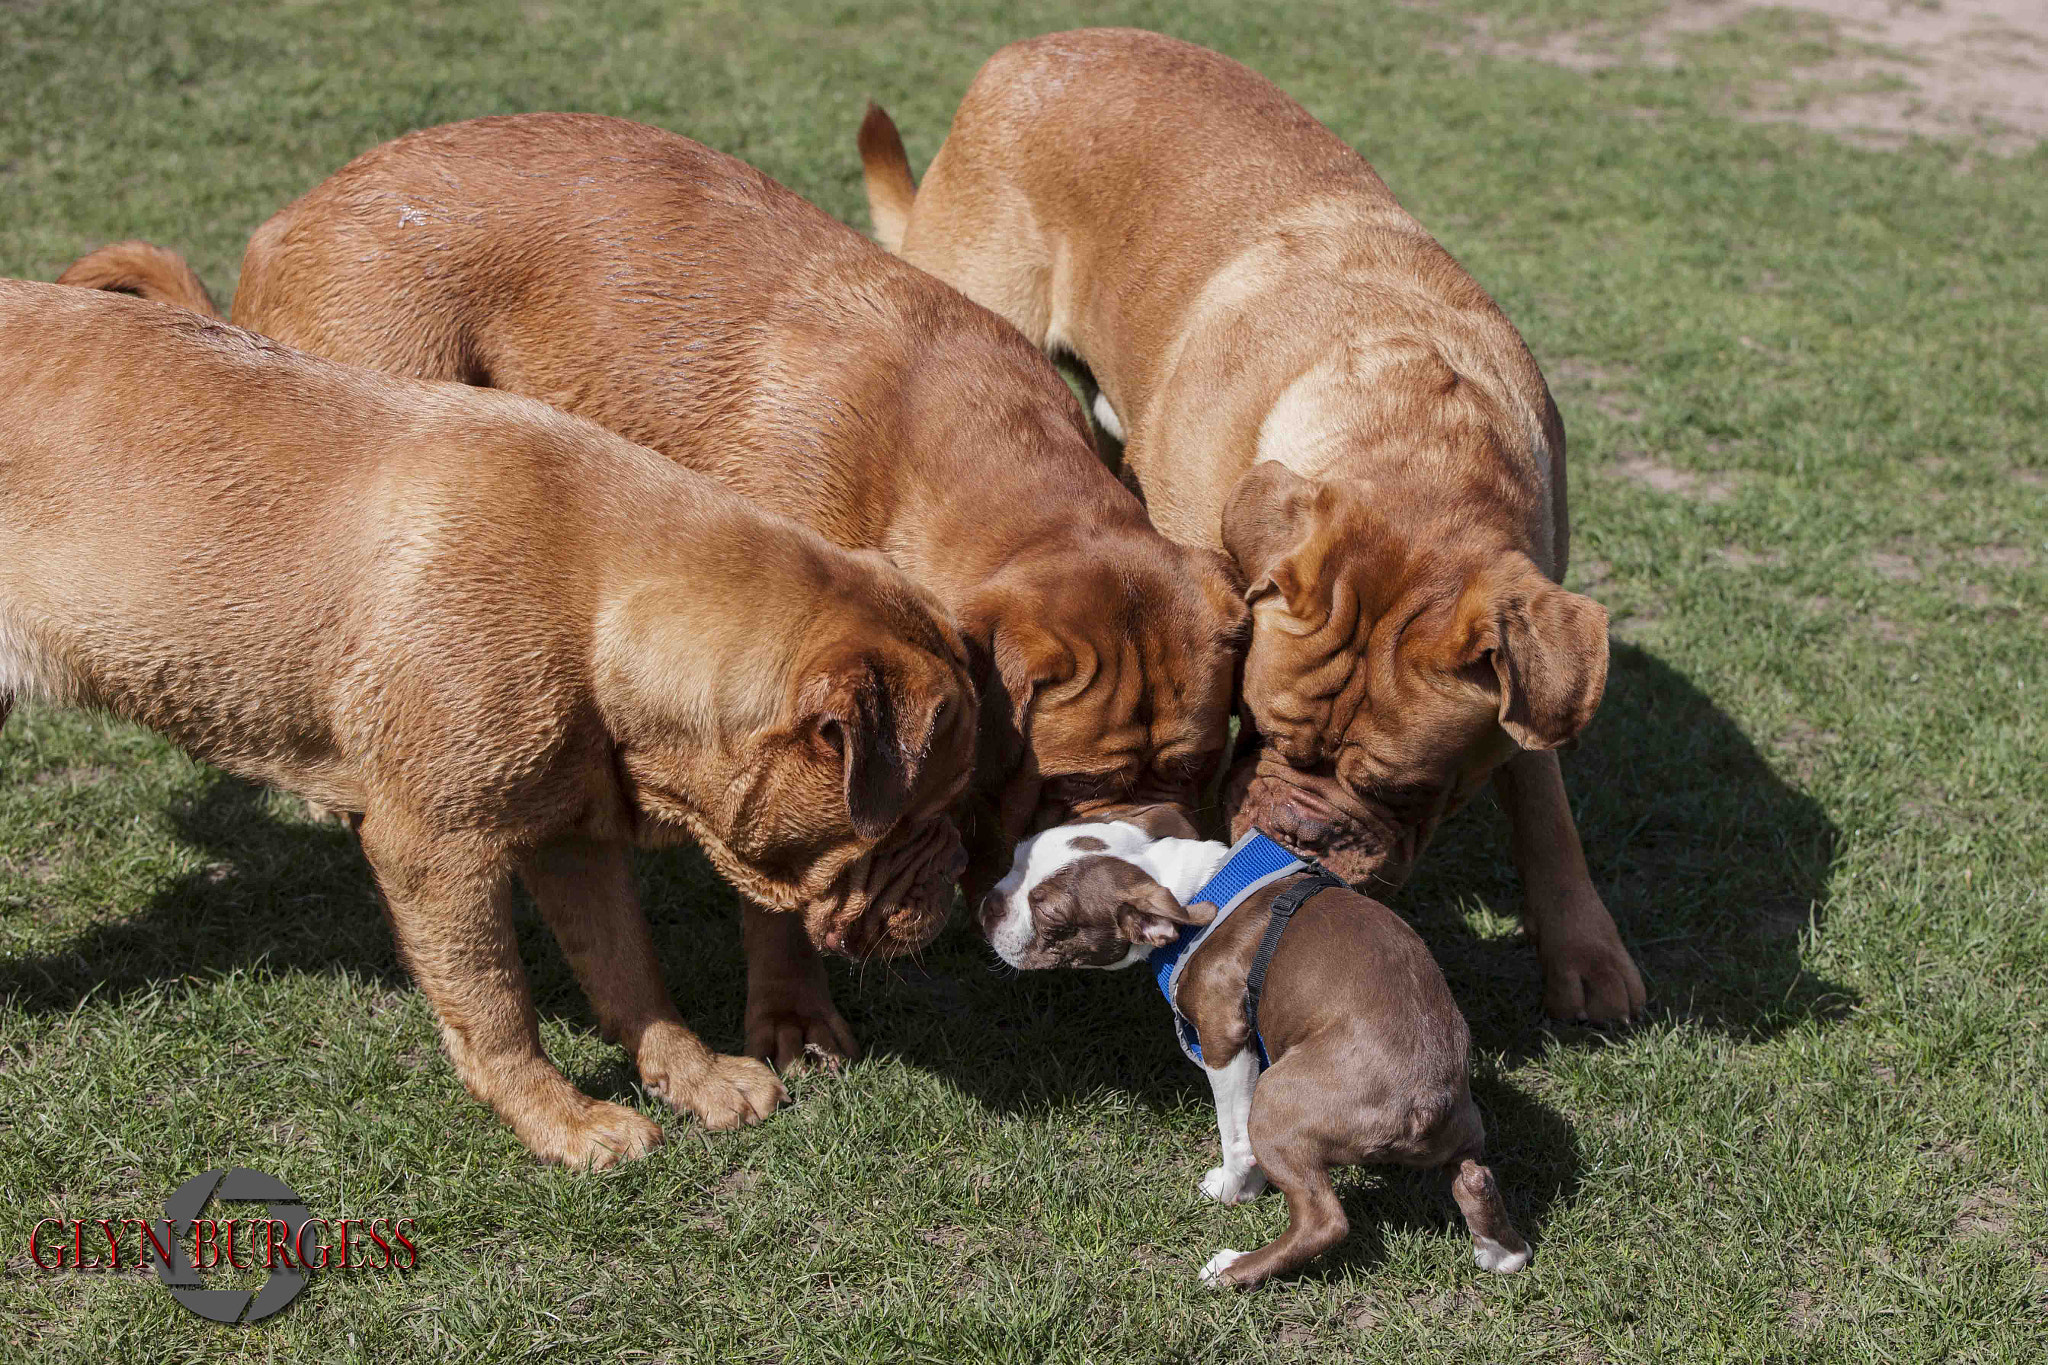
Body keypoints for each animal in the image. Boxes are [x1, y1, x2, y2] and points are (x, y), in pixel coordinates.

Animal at [2, 282, 974, 1170]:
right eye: (928, 812)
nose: (963, 866)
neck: (600, 602)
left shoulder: (571, 835)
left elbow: (629, 970)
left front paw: (693, 1076)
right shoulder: (434, 850)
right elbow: (497, 1004)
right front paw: (564, 1122)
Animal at [64, 122, 1245, 1055]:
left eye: (1196, 769)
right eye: (1070, 788)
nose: (1158, 857)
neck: (965, 460)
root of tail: (282, 224)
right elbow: (777, 893)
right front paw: (790, 1017)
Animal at [860, 29, 1646, 1023]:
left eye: (1407, 789)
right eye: (1258, 726)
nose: (1296, 833)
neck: (1418, 448)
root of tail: (1026, 50)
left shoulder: (1531, 647)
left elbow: (1543, 797)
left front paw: (1584, 946)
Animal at [974, 822, 1523, 1293]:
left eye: (1049, 916)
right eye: (1016, 857)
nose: (987, 905)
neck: (1193, 887)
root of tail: (1427, 1101)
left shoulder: (1224, 1039)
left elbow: (1233, 1133)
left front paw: (1234, 1189)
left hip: (1279, 1102)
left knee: (1323, 1220)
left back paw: (1235, 1270)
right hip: (1463, 1125)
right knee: (1476, 1177)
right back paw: (1504, 1253)